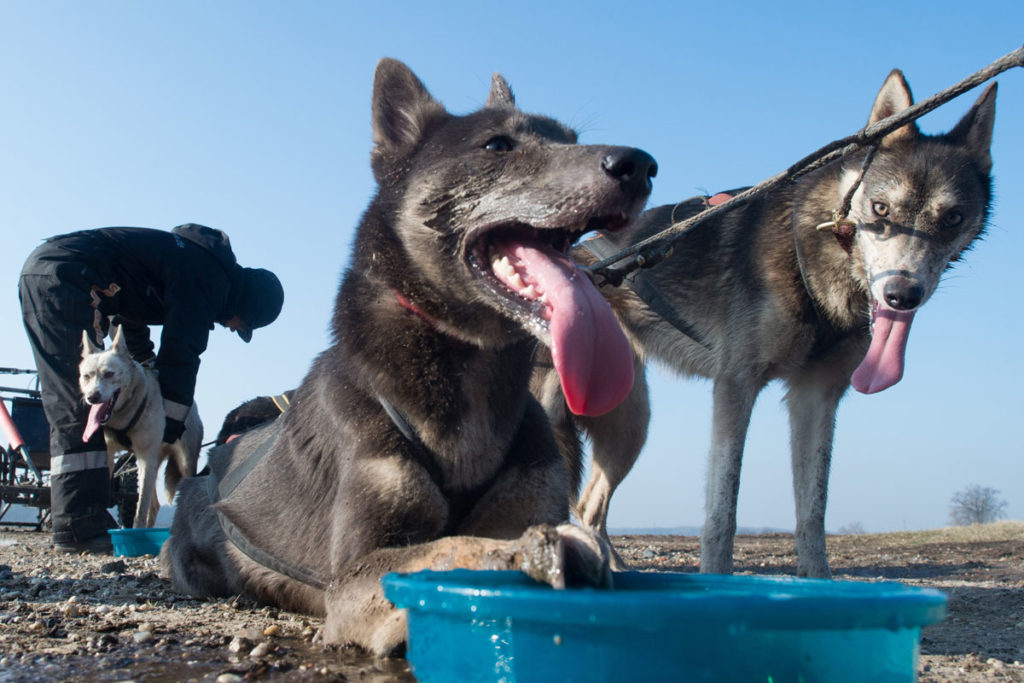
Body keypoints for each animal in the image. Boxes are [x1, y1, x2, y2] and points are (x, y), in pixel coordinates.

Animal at [78, 325, 201, 528]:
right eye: (86, 376)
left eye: (109, 374)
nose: (92, 397)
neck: (123, 414)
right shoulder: (110, 453)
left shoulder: (145, 458)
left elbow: (140, 509)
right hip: (153, 463)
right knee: (154, 506)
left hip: (183, 463)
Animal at [159, 60, 655, 655]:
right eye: (497, 144)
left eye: (573, 139)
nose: (640, 165)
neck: (467, 365)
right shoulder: (353, 577)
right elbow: (446, 549)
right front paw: (525, 552)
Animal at [532, 68, 995, 577]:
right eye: (881, 209)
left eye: (953, 218)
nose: (902, 294)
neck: (813, 255)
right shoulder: (736, 385)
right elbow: (723, 511)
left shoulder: (816, 397)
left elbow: (812, 512)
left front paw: (819, 580)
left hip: (629, 426)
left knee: (591, 504)